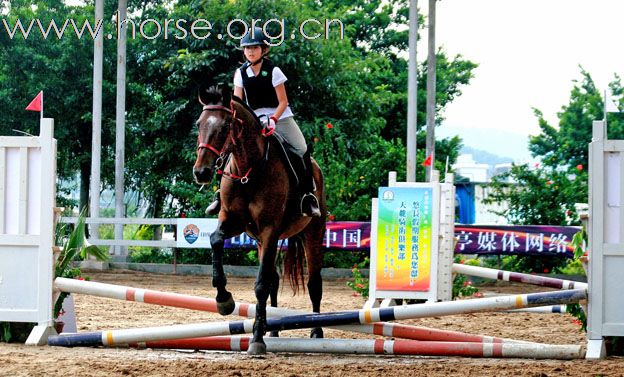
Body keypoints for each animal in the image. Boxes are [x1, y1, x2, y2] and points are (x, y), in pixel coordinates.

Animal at [191, 86, 326, 356]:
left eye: (225, 126)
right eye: (199, 123)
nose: (201, 172)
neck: (249, 169)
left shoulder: (269, 230)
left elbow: (261, 285)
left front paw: (256, 340)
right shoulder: (234, 222)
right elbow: (216, 240)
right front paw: (224, 300)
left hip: (313, 232)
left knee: (314, 283)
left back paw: (316, 331)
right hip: (262, 242)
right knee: (274, 279)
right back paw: (272, 330)